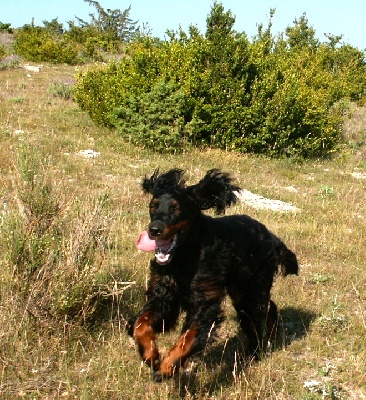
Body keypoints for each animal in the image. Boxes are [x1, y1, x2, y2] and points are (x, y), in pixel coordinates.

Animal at [129, 169, 298, 382]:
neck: (185, 256)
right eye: (153, 206)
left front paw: (167, 367)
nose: (154, 230)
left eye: (176, 208)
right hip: (241, 291)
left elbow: (188, 338)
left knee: (262, 313)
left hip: (251, 288)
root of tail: (270, 236)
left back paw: (256, 350)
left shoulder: (205, 302)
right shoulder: (164, 295)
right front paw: (150, 354)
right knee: (266, 309)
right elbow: (140, 324)